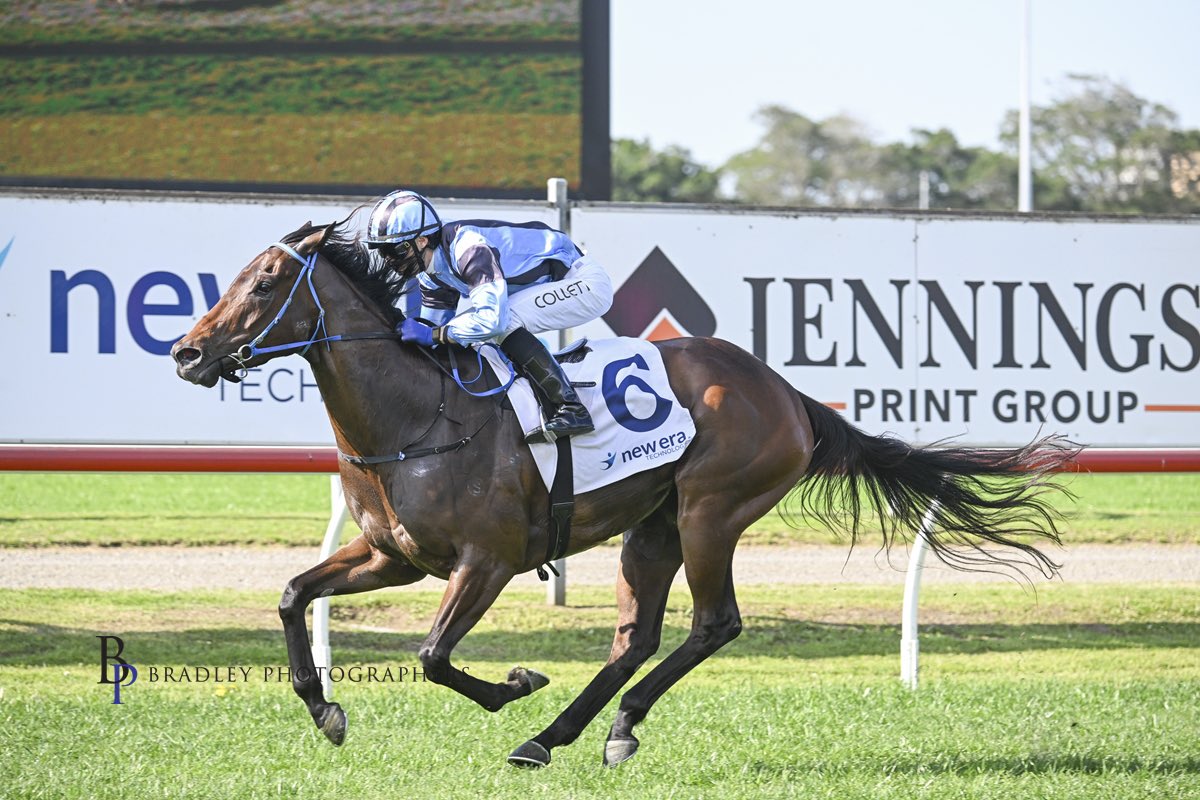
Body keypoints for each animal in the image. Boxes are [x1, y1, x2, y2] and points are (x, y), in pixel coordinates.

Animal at [171, 219, 1077, 768]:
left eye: (264, 285)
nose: (186, 352)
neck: (416, 412)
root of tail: (787, 394)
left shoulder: (486, 561)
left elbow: (432, 656)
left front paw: (513, 684)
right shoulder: (393, 556)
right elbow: (294, 595)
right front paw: (325, 710)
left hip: (712, 512)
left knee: (714, 624)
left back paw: (586, 726)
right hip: (655, 525)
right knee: (634, 636)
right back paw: (559, 735)